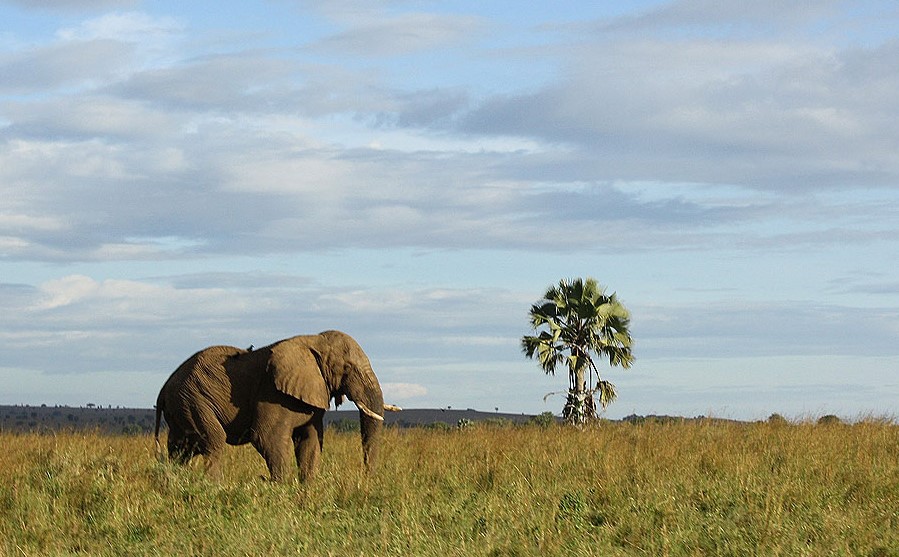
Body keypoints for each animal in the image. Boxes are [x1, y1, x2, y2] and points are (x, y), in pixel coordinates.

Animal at [153, 328, 396, 480]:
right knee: (213, 442)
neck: (314, 340)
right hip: (193, 400)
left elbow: (310, 441)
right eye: (346, 368)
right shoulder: (271, 392)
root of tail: (163, 390)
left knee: (181, 450)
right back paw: (214, 487)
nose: (366, 478)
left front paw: (307, 488)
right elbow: (266, 437)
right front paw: (281, 487)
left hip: (182, 406)